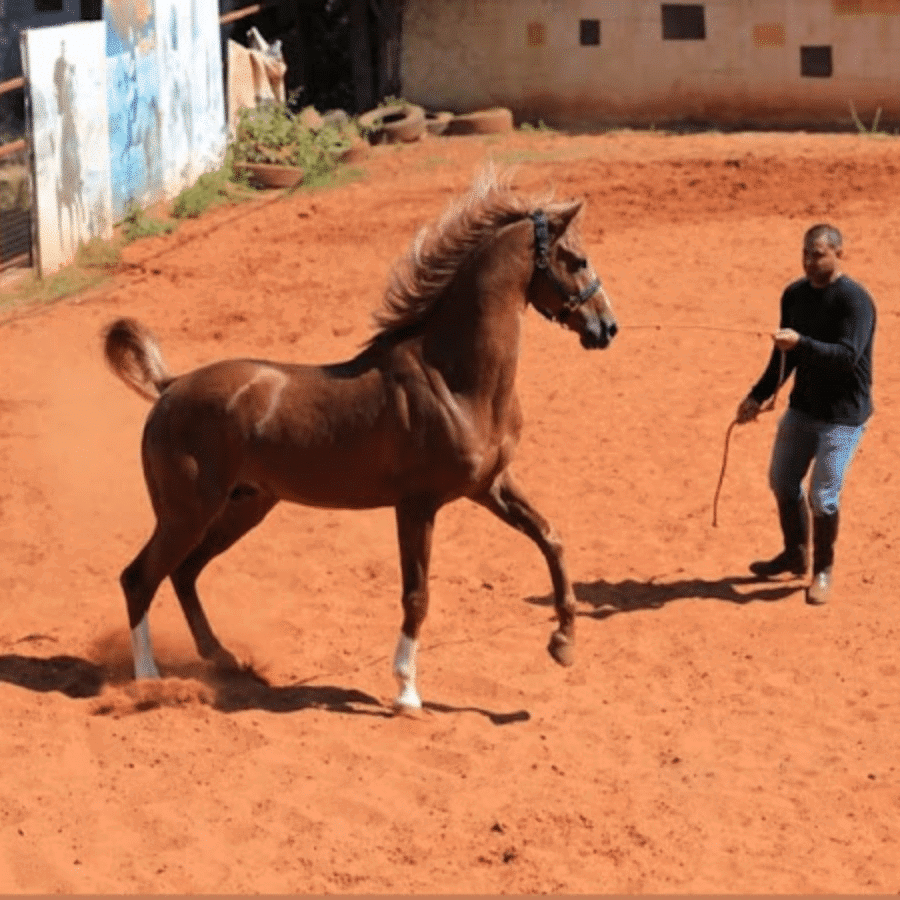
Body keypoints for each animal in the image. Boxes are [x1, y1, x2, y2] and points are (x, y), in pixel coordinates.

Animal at [102, 174, 616, 712]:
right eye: (577, 260)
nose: (607, 327)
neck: (456, 381)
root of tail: (170, 386)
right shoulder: (417, 505)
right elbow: (417, 594)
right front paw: (407, 693)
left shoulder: (490, 486)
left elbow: (551, 538)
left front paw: (563, 644)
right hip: (187, 513)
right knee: (139, 577)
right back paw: (148, 680)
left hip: (241, 507)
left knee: (183, 574)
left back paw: (221, 658)